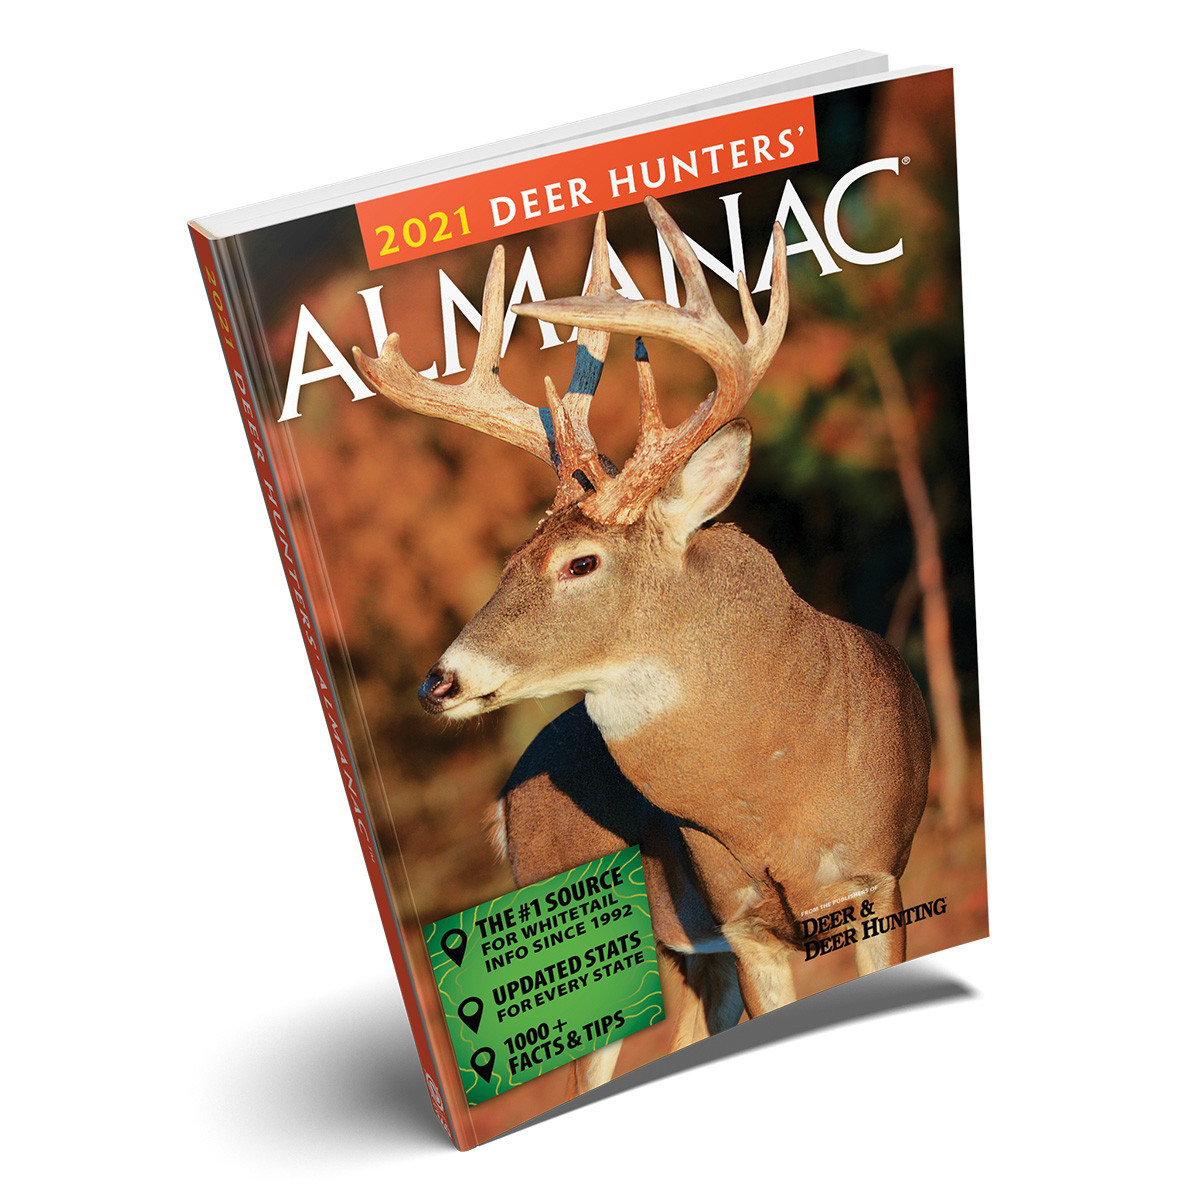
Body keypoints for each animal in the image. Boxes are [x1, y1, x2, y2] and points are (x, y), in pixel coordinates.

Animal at [354, 197, 931, 1098]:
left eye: (580, 561)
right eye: (513, 555)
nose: (438, 683)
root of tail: (503, 800)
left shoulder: (881, 874)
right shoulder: (741, 917)